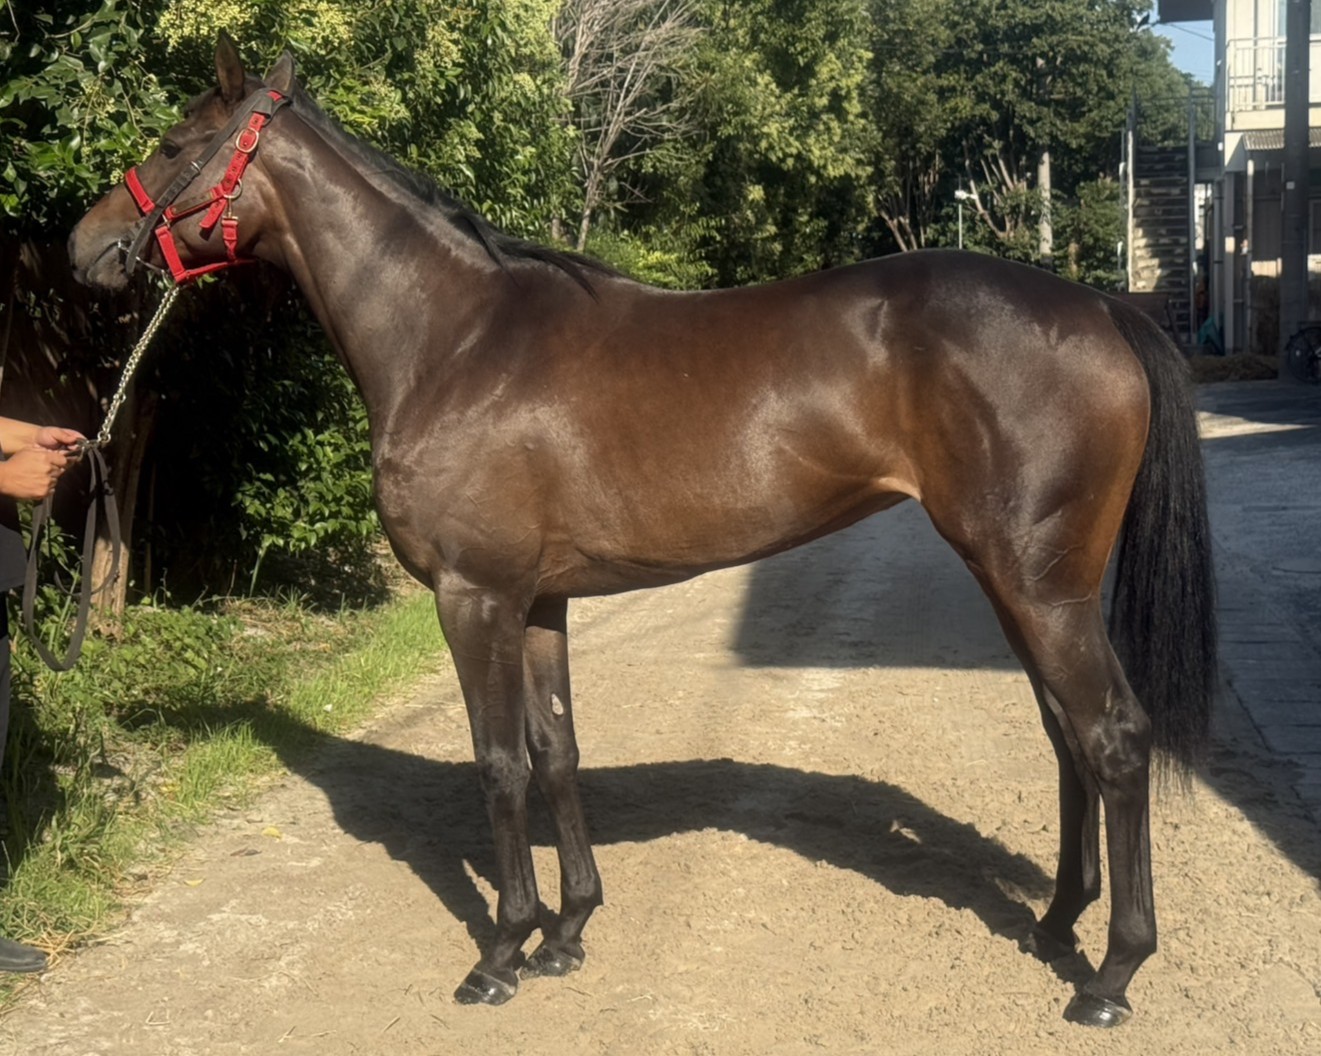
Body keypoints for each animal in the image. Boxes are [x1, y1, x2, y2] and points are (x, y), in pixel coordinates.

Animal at [68, 36, 1216, 1028]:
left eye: (174, 141)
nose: (84, 249)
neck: (454, 341)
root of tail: (1098, 309)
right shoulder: (537, 599)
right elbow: (556, 752)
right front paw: (570, 930)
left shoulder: (473, 595)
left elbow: (498, 763)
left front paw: (502, 952)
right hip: (1021, 582)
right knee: (1067, 740)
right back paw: (1057, 924)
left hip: (1039, 585)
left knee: (1113, 740)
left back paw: (1110, 973)